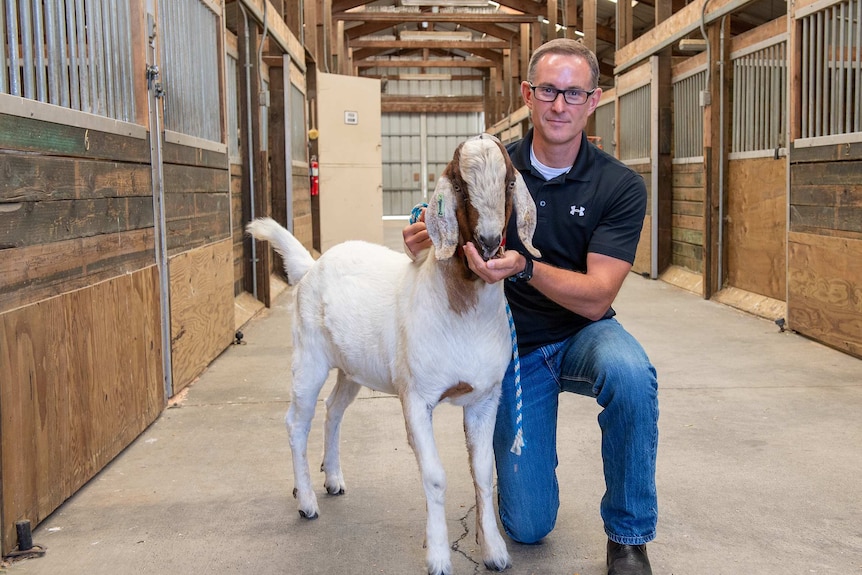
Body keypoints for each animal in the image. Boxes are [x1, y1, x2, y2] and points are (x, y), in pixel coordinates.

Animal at [246, 134, 540, 575]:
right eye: (457, 185)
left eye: (508, 183)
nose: (489, 243)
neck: (461, 309)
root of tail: (310, 267)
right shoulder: (416, 397)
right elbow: (434, 475)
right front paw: (438, 558)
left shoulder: (486, 397)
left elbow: (484, 470)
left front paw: (495, 552)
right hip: (309, 358)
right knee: (296, 422)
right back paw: (307, 501)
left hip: (352, 368)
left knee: (334, 410)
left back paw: (331, 478)